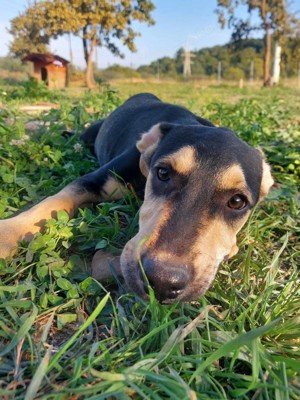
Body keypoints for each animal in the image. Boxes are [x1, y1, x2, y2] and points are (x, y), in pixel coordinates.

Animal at [0, 94, 272, 304]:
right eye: (162, 173)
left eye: (237, 202)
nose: (162, 281)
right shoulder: (95, 179)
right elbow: (55, 201)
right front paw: (8, 232)